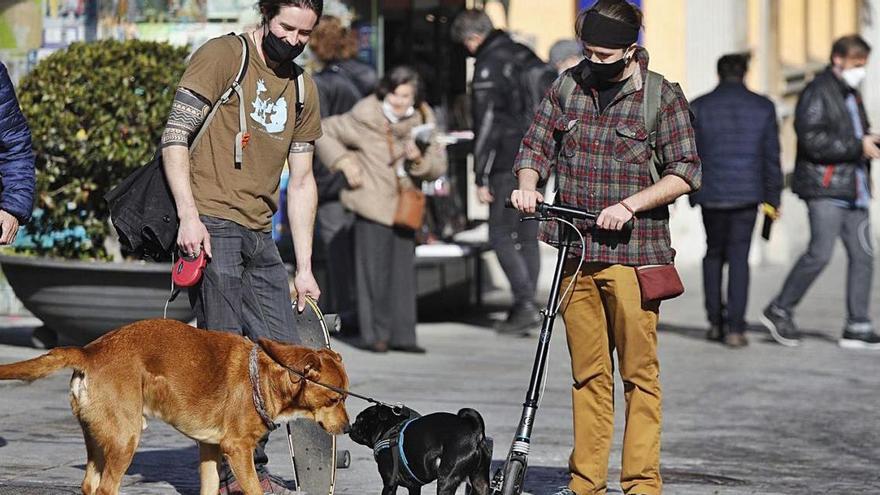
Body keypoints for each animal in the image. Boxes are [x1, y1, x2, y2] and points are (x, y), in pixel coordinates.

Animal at [0, 320, 348, 494]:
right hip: (125, 439)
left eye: (345, 396)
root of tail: (90, 351)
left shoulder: (210, 448)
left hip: (97, 438)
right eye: (335, 399)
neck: (263, 376)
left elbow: (209, 487)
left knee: (89, 485)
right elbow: (253, 490)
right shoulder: (237, 449)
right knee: (105, 489)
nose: (347, 428)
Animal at [348, 404, 492, 494]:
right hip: (480, 481)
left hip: (446, 479)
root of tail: (474, 432)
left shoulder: (389, 483)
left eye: (360, 419)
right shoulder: (414, 487)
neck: (389, 428)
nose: (352, 426)